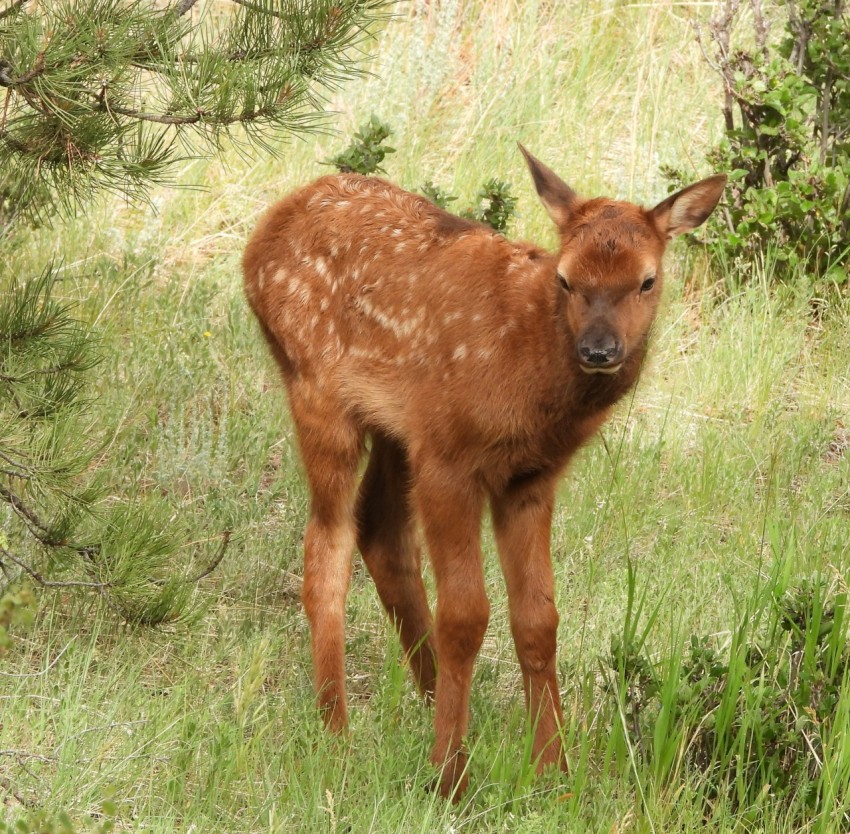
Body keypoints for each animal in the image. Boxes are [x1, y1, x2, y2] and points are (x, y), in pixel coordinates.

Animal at [243, 146, 724, 796]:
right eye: (566, 277)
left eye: (647, 279)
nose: (599, 351)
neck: (529, 374)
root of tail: (259, 238)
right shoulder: (450, 459)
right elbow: (467, 617)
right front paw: (450, 775)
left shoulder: (530, 478)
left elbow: (539, 619)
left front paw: (552, 771)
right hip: (319, 393)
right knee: (327, 546)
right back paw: (337, 732)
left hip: (396, 427)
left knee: (381, 535)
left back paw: (426, 703)